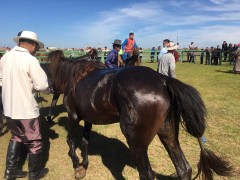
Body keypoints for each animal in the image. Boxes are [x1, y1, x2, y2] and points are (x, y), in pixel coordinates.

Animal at [47, 50, 232, 179]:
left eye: (48, 70)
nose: (50, 89)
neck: (77, 76)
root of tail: (164, 80)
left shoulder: (73, 116)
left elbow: (70, 140)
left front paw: (77, 165)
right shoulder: (88, 119)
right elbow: (85, 142)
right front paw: (84, 164)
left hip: (137, 143)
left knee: (147, 174)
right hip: (168, 134)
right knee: (184, 169)